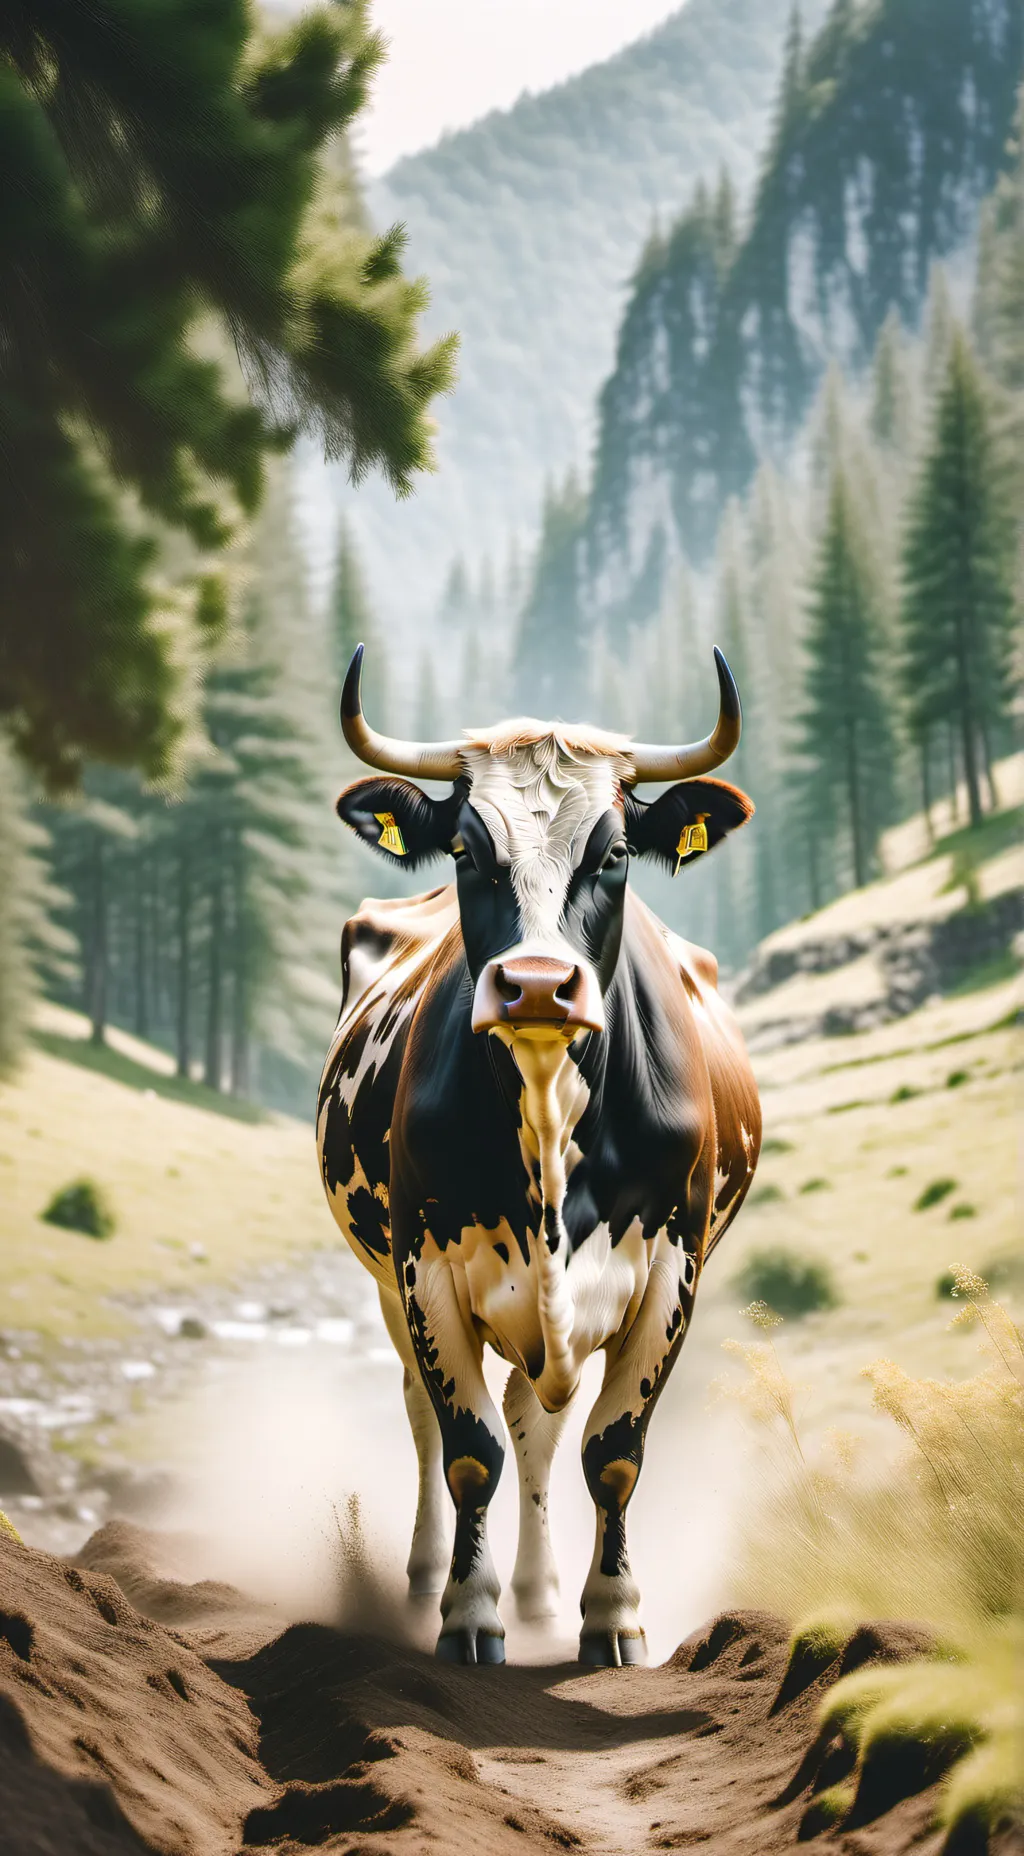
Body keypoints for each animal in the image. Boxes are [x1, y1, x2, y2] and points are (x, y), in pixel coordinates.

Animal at [317, 645, 761, 1667]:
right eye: (466, 850)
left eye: (615, 853)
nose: (534, 986)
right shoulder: (423, 1269)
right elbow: (469, 1449)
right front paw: (468, 1613)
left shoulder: (671, 1274)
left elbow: (611, 1452)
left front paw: (613, 1615)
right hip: (391, 1283)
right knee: (430, 1418)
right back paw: (429, 1578)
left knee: (539, 1425)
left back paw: (540, 1590)